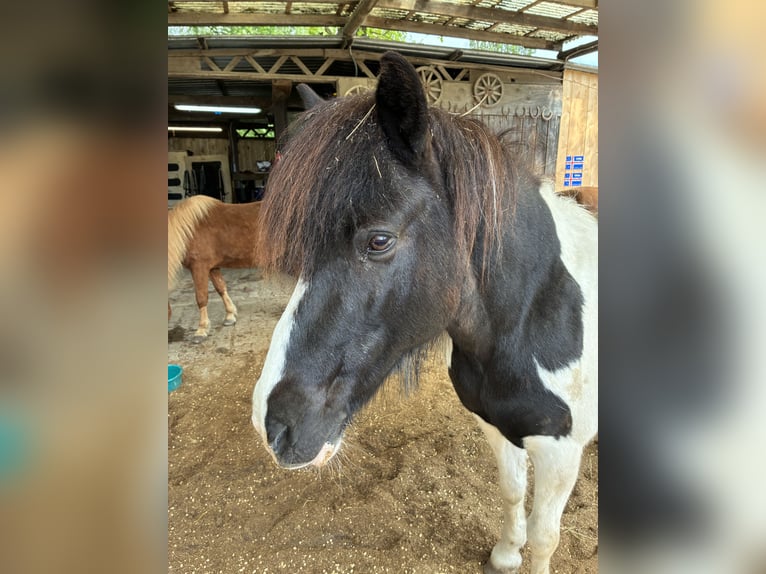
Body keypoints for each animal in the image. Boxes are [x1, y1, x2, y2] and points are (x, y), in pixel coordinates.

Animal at [168, 195, 262, 343]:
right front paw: (230, 315)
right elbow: (221, 288)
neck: (187, 231)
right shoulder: (212, 267)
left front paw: (201, 330)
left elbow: (201, 297)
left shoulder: (199, 266)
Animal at [251, 52, 597, 574]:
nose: (270, 424)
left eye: (379, 240)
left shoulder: (561, 453)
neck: (533, 313)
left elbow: (544, 537)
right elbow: (511, 492)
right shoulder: (497, 427)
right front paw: (504, 552)